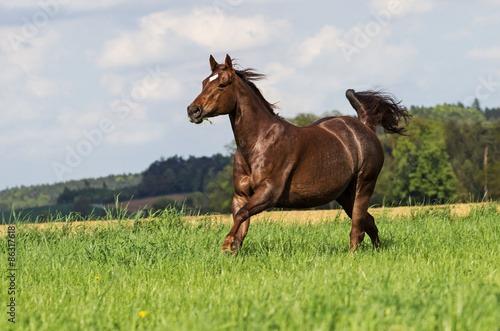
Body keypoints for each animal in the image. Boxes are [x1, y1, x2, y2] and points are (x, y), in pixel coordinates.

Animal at [188, 54, 410, 254]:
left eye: (222, 85)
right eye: (204, 83)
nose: (193, 111)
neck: (258, 143)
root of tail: (365, 127)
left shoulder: (269, 192)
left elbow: (241, 216)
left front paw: (225, 244)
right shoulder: (241, 195)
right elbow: (240, 224)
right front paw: (230, 251)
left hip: (363, 185)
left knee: (358, 227)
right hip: (345, 194)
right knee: (369, 222)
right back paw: (378, 252)